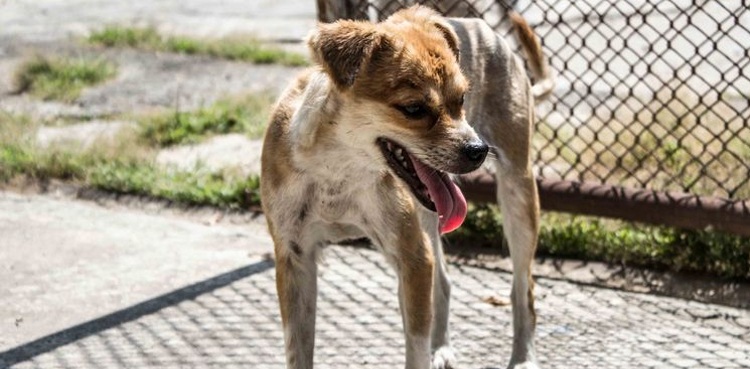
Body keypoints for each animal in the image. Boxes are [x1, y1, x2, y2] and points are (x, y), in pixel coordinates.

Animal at [262, 5, 556, 368]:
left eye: (462, 99)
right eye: (414, 109)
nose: (478, 150)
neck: (338, 171)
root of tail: (481, 26)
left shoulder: (413, 257)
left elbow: (415, 346)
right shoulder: (294, 257)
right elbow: (298, 349)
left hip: (518, 193)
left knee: (522, 288)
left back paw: (523, 356)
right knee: (443, 284)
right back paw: (441, 348)